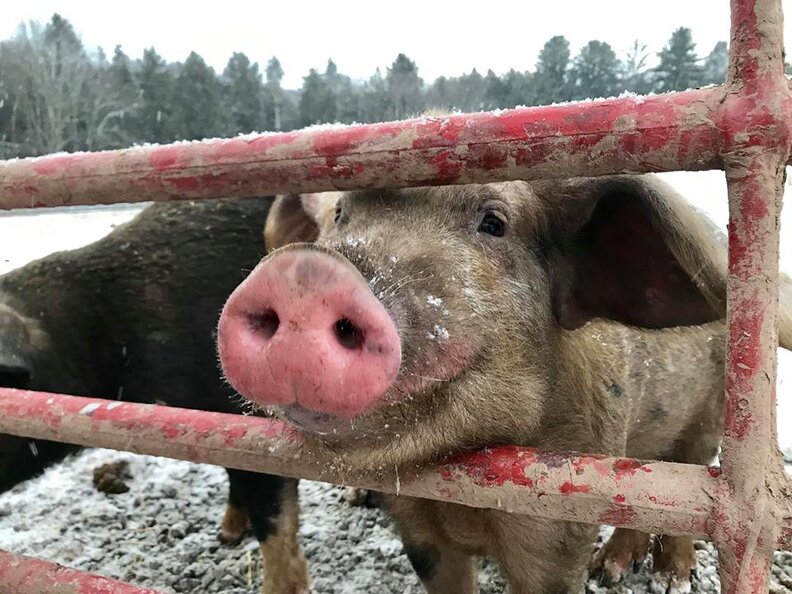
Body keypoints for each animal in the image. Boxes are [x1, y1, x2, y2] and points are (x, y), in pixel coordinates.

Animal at [218, 174, 792, 594]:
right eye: (340, 215)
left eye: (494, 223)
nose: (306, 272)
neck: (465, 476)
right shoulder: (414, 524)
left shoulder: (563, 512)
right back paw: (613, 568)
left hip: (713, 417)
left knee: (688, 480)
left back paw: (658, 577)